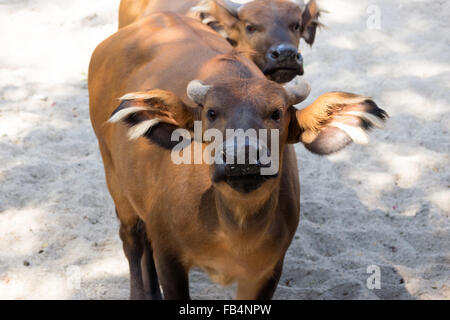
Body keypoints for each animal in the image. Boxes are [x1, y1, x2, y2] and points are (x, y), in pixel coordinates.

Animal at [89, 11, 386, 298]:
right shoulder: (169, 256)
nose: (241, 156)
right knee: (133, 239)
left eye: (276, 113)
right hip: (115, 179)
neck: (235, 230)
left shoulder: (267, 270)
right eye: (211, 112)